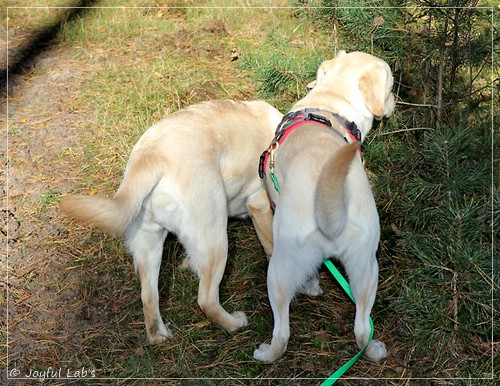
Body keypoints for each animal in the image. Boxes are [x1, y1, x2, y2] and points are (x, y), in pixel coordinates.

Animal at [59, 100, 282, 344]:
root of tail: (150, 158)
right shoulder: (259, 202)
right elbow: (272, 243)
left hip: (148, 246)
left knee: (148, 297)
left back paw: (159, 335)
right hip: (215, 237)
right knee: (207, 300)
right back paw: (234, 324)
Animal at [254, 50, 394, 362]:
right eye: (391, 86)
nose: (394, 102)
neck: (331, 100)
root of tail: (330, 214)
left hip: (278, 273)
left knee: (282, 333)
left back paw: (266, 353)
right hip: (367, 269)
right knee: (362, 330)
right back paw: (374, 350)